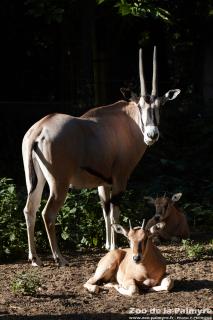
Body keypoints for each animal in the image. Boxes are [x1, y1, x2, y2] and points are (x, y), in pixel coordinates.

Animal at [22, 46, 181, 266]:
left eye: (160, 106)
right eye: (140, 106)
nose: (152, 135)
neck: (128, 120)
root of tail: (39, 129)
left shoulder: (103, 182)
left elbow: (105, 212)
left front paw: (107, 245)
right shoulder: (120, 179)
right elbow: (115, 214)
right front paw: (116, 247)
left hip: (36, 181)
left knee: (30, 209)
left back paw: (35, 258)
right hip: (59, 183)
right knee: (48, 213)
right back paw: (59, 258)